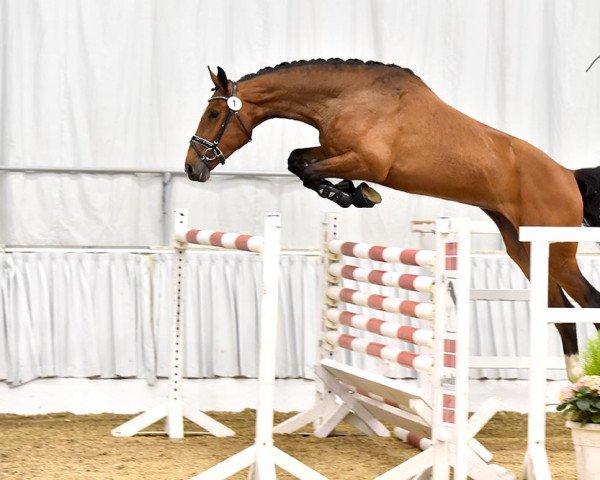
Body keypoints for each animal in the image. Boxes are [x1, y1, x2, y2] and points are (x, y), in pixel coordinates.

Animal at [184, 58, 600, 382]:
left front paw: (355, 194)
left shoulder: (366, 161)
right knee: (562, 312)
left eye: (215, 114)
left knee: (588, 300)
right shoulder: (335, 150)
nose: (191, 168)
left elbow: (310, 169)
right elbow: (298, 161)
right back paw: (575, 379)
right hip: (524, 248)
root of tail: (567, 176)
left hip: (558, 251)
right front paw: (351, 193)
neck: (347, 98)